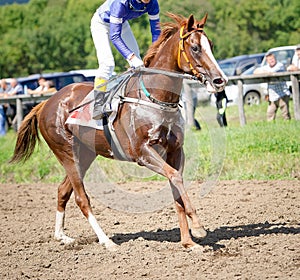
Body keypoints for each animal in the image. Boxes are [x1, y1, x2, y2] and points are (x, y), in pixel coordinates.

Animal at [9, 13, 227, 250]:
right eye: (195, 47)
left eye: (211, 45)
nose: (220, 80)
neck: (154, 97)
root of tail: (45, 103)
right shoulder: (142, 153)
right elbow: (175, 177)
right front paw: (197, 226)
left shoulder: (175, 150)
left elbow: (175, 184)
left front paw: (188, 242)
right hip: (66, 152)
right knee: (81, 198)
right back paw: (106, 241)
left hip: (85, 154)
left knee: (63, 191)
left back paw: (61, 236)